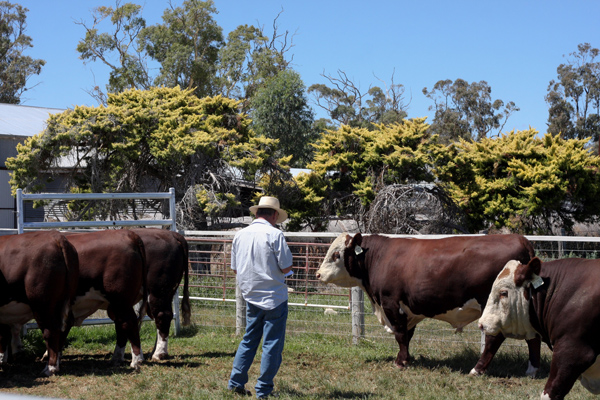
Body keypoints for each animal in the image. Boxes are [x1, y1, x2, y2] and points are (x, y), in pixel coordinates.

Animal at [0, 231, 78, 376]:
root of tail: (56, 237)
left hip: (42, 305)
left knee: (50, 330)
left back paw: (50, 367)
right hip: (65, 300)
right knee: (66, 325)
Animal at [63, 230, 149, 370]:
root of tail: (128, 234)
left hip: (121, 300)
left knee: (130, 322)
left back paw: (136, 360)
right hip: (116, 305)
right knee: (122, 325)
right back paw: (117, 359)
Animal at [314, 233, 540, 376]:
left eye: (336, 254)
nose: (318, 274)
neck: (378, 257)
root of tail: (521, 240)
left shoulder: (391, 303)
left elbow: (400, 334)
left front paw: (400, 362)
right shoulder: (407, 309)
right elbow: (407, 335)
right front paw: (406, 358)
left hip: (495, 307)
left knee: (495, 338)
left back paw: (477, 369)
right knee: (533, 337)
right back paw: (532, 370)